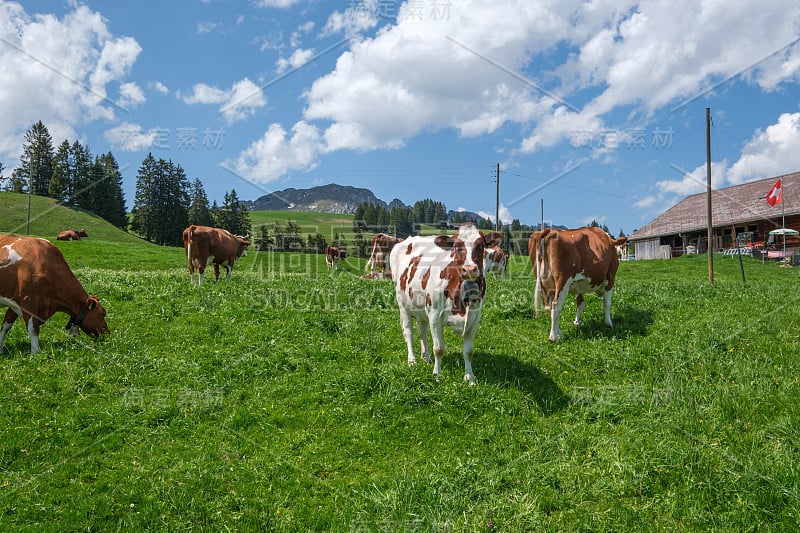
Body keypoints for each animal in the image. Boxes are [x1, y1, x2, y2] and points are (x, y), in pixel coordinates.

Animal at [388, 222, 500, 384]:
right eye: (457, 246)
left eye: (480, 245)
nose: (469, 269)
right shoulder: (435, 315)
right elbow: (439, 348)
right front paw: (437, 375)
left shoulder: (475, 317)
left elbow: (468, 351)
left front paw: (469, 377)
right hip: (403, 304)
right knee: (408, 332)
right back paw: (412, 360)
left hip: (421, 308)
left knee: (422, 332)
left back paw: (426, 358)